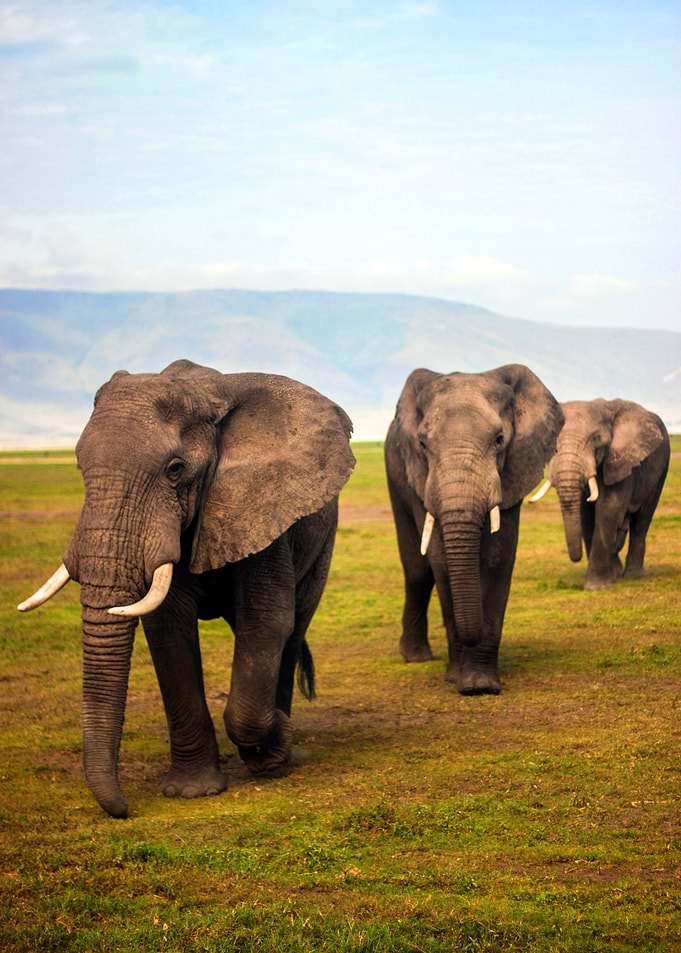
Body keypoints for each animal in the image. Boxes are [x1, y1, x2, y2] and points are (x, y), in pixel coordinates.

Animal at [17, 359, 355, 818]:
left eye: (175, 469)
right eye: (78, 466)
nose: (123, 809)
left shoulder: (261, 507)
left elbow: (266, 623)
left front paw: (274, 744)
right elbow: (168, 631)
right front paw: (191, 791)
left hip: (323, 541)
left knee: (293, 628)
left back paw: (275, 754)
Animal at [385, 364, 563, 695]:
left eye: (499, 439)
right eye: (423, 444)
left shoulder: (513, 470)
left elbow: (497, 558)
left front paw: (480, 685)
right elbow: (440, 560)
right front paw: (459, 680)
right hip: (395, 474)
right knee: (417, 570)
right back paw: (415, 657)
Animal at [529, 398, 670, 590]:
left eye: (596, 439)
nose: (576, 558)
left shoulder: (621, 461)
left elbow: (609, 507)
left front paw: (596, 587)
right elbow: (586, 514)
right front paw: (608, 578)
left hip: (661, 469)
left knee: (642, 520)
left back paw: (633, 575)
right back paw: (617, 572)